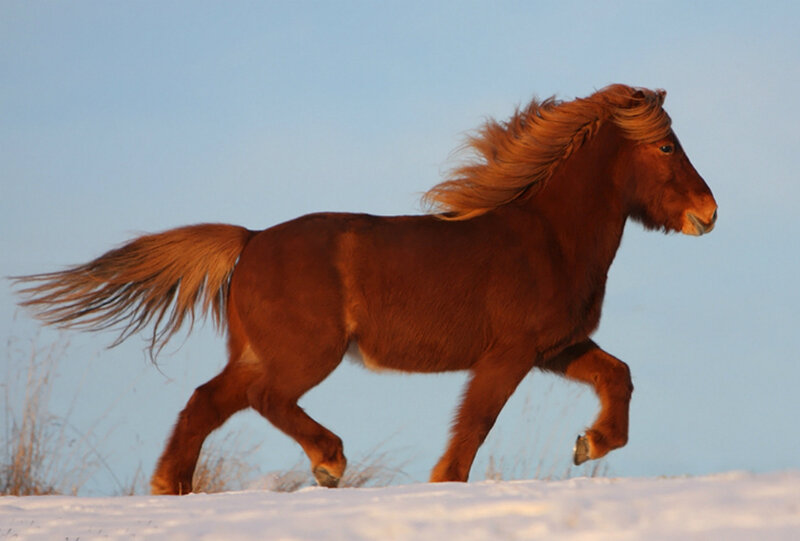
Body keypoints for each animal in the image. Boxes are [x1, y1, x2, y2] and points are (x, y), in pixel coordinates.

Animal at [13, 84, 717, 494]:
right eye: (665, 145)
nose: (708, 213)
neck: (547, 234)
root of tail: (250, 239)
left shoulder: (557, 348)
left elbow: (618, 375)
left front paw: (588, 445)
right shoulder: (511, 354)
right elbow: (474, 424)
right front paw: (447, 485)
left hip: (261, 352)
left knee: (206, 402)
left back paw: (173, 490)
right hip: (306, 353)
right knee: (264, 399)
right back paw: (328, 462)